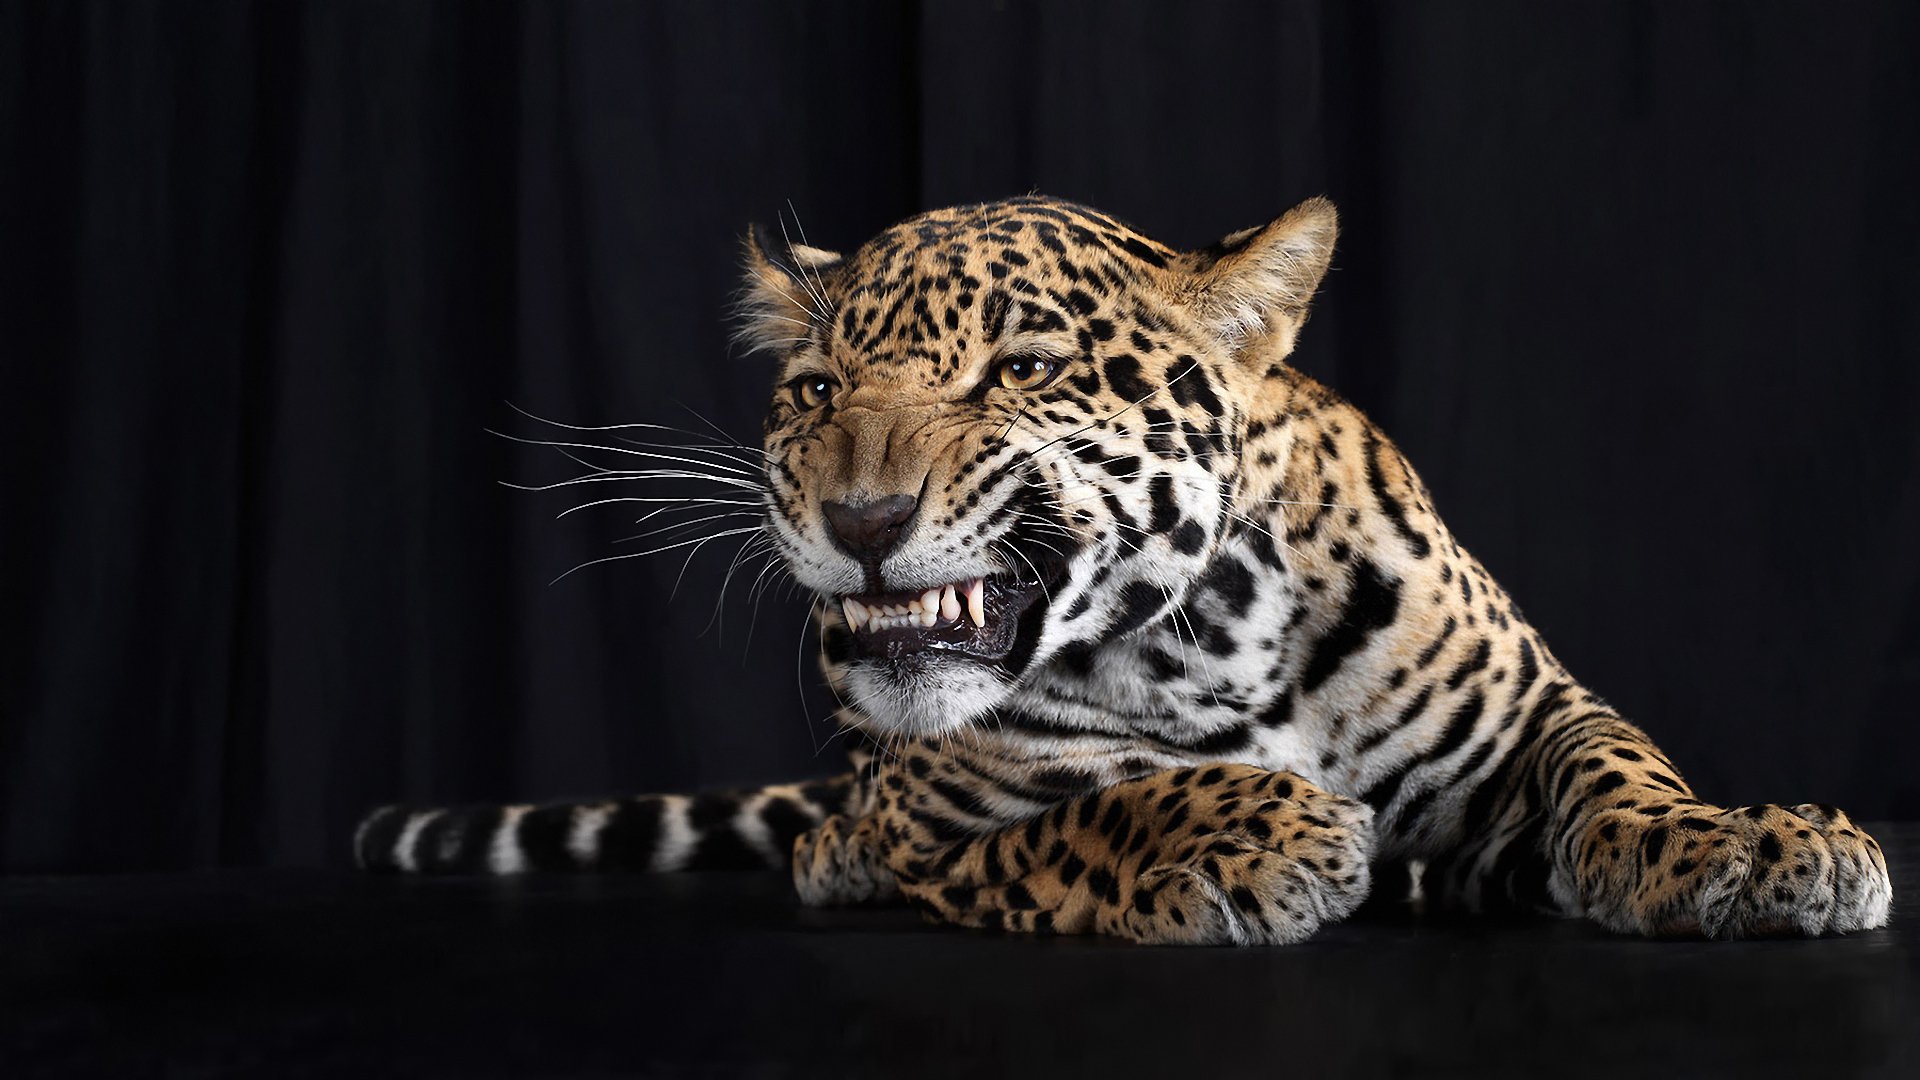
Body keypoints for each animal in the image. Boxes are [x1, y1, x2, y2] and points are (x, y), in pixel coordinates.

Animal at [356, 195, 1892, 944]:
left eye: (1022, 372)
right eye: (817, 391)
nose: (861, 517)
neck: (1216, 636)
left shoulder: (1525, 716)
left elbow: (1619, 769)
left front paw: (1748, 845)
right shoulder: (935, 831)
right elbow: (1110, 807)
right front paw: (1268, 833)